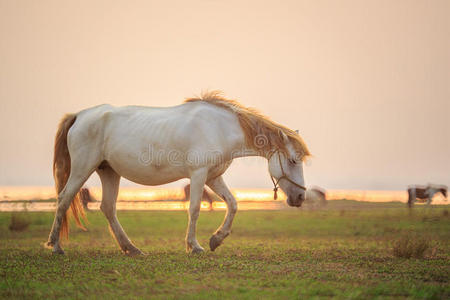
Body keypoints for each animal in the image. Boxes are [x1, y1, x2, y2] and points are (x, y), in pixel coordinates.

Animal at [44, 91, 310, 255]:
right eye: (293, 160)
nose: (300, 198)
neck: (219, 127)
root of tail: (79, 115)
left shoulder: (214, 177)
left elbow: (233, 204)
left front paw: (216, 239)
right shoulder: (199, 175)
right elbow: (194, 209)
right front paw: (194, 246)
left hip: (109, 172)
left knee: (108, 208)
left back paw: (132, 248)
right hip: (82, 169)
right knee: (64, 199)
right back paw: (55, 246)